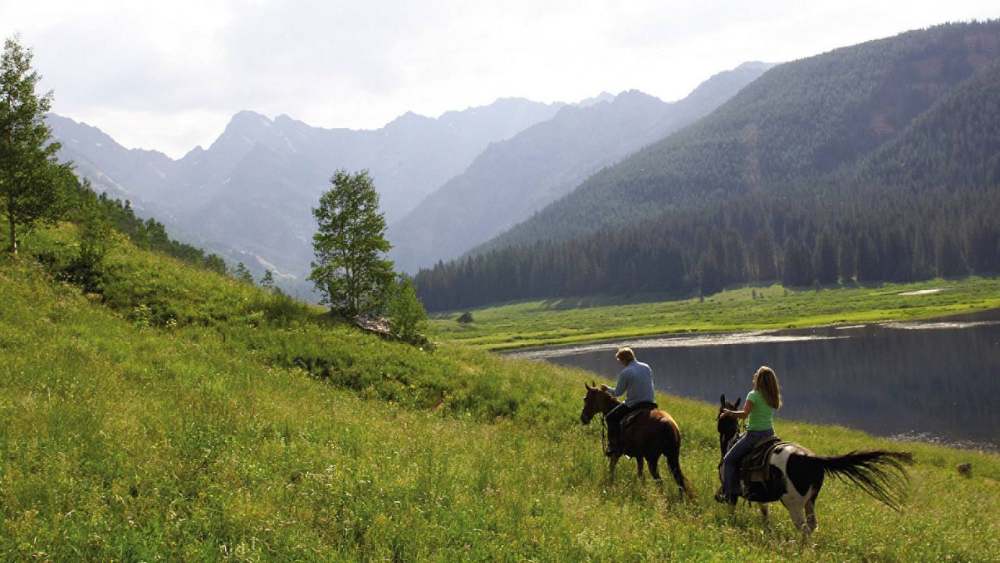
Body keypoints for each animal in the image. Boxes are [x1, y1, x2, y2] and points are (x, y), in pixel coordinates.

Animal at [720, 394, 916, 540]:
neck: (732, 441)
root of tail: (813, 460)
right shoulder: (760, 495)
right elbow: (764, 512)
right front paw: (766, 530)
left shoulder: (732, 490)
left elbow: (731, 506)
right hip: (810, 501)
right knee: (812, 525)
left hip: (793, 503)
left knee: (804, 528)